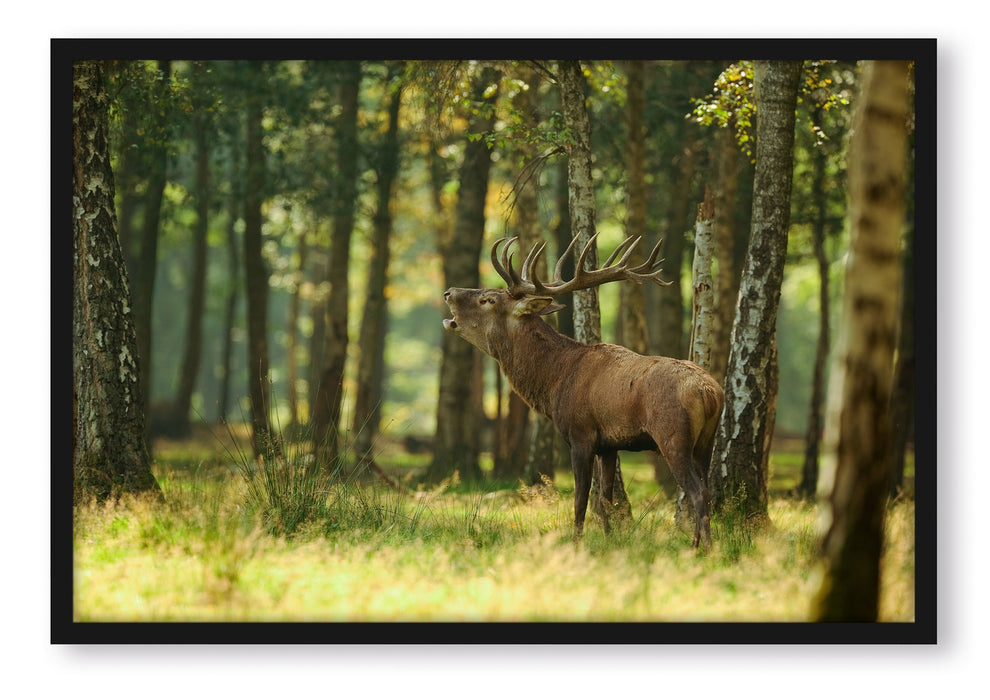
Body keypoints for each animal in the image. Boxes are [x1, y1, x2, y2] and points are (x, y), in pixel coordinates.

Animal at [442, 233, 725, 549]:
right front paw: (609, 540)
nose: (449, 292)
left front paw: (576, 543)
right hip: (706, 441)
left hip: (673, 436)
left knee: (697, 491)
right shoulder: (610, 445)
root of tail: (710, 393)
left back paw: (702, 548)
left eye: (488, 299)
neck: (555, 382)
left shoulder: (580, 434)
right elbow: (605, 501)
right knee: (706, 489)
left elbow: (580, 500)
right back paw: (699, 544)